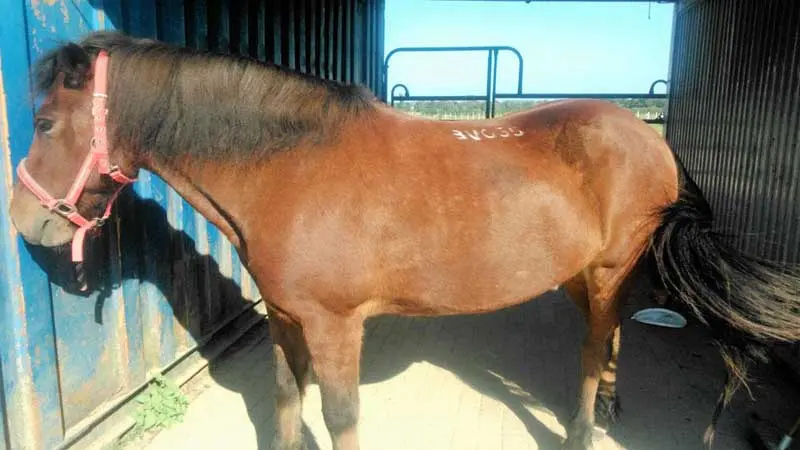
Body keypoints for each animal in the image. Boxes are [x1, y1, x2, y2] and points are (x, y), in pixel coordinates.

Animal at [8, 31, 800, 450]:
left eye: (44, 123)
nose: (25, 221)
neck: (288, 165)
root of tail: (648, 137)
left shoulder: (334, 328)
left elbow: (340, 416)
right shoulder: (286, 321)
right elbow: (285, 401)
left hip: (607, 271)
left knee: (589, 348)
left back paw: (582, 427)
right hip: (582, 274)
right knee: (608, 338)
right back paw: (607, 405)